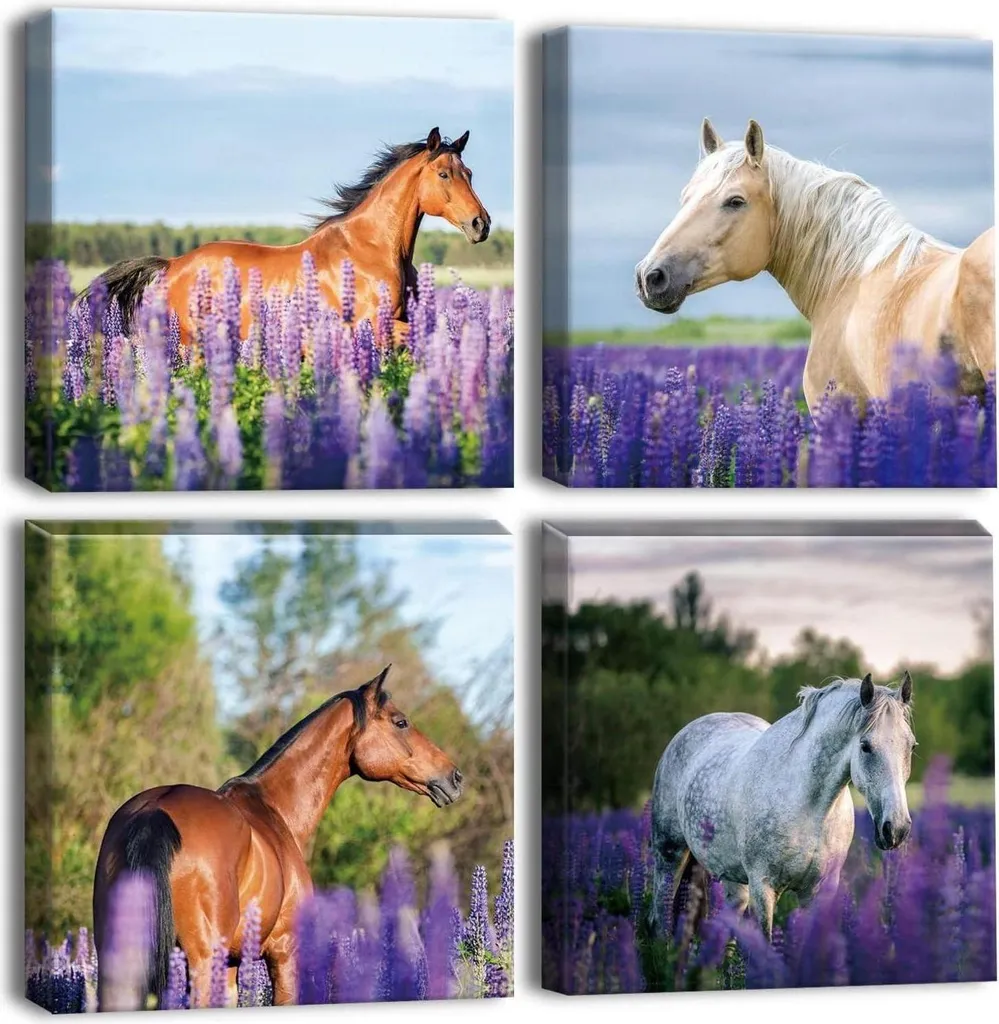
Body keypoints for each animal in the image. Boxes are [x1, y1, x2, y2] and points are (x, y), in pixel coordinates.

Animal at [83, 127, 490, 348]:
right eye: (443, 174)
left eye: (469, 172)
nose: (480, 224)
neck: (371, 250)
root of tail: (172, 264)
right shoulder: (374, 327)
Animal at [92, 666, 463, 1009]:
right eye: (401, 722)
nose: (455, 777)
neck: (274, 808)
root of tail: (154, 812)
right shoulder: (284, 953)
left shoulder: (233, 964)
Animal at [649, 672, 915, 941]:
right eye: (865, 746)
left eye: (911, 746)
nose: (897, 829)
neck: (810, 810)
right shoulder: (763, 887)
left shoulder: (818, 891)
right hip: (669, 855)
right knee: (661, 914)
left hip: (733, 881)